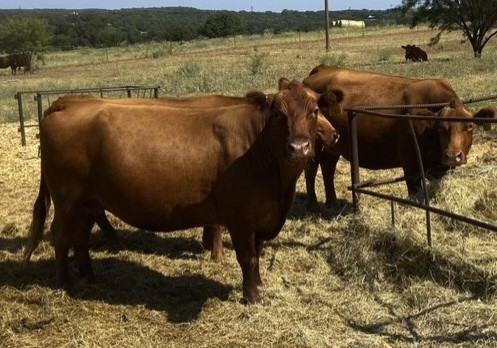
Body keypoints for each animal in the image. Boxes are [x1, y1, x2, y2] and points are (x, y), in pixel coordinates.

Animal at [25, 80, 340, 304]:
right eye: (278, 114)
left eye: (314, 111)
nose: (299, 147)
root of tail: (64, 106)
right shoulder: (240, 217)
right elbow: (247, 257)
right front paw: (253, 297)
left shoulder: (262, 217)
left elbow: (257, 254)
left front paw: (258, 285)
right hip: (67, 200)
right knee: (60, 236)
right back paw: (65, 282)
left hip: (88, 203)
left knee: (80, 238)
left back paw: (89, 278)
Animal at [302, 64, 492, 208]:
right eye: (441, 127)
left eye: (469, 126)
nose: (453, 155)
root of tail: (322, 68)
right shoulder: (410, 164)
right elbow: (414, 192)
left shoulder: (440, 169)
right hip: (315, 144)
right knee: (311, 169)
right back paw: (313, 204)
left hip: (333, 144)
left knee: (327, 167)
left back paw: (332, 202)